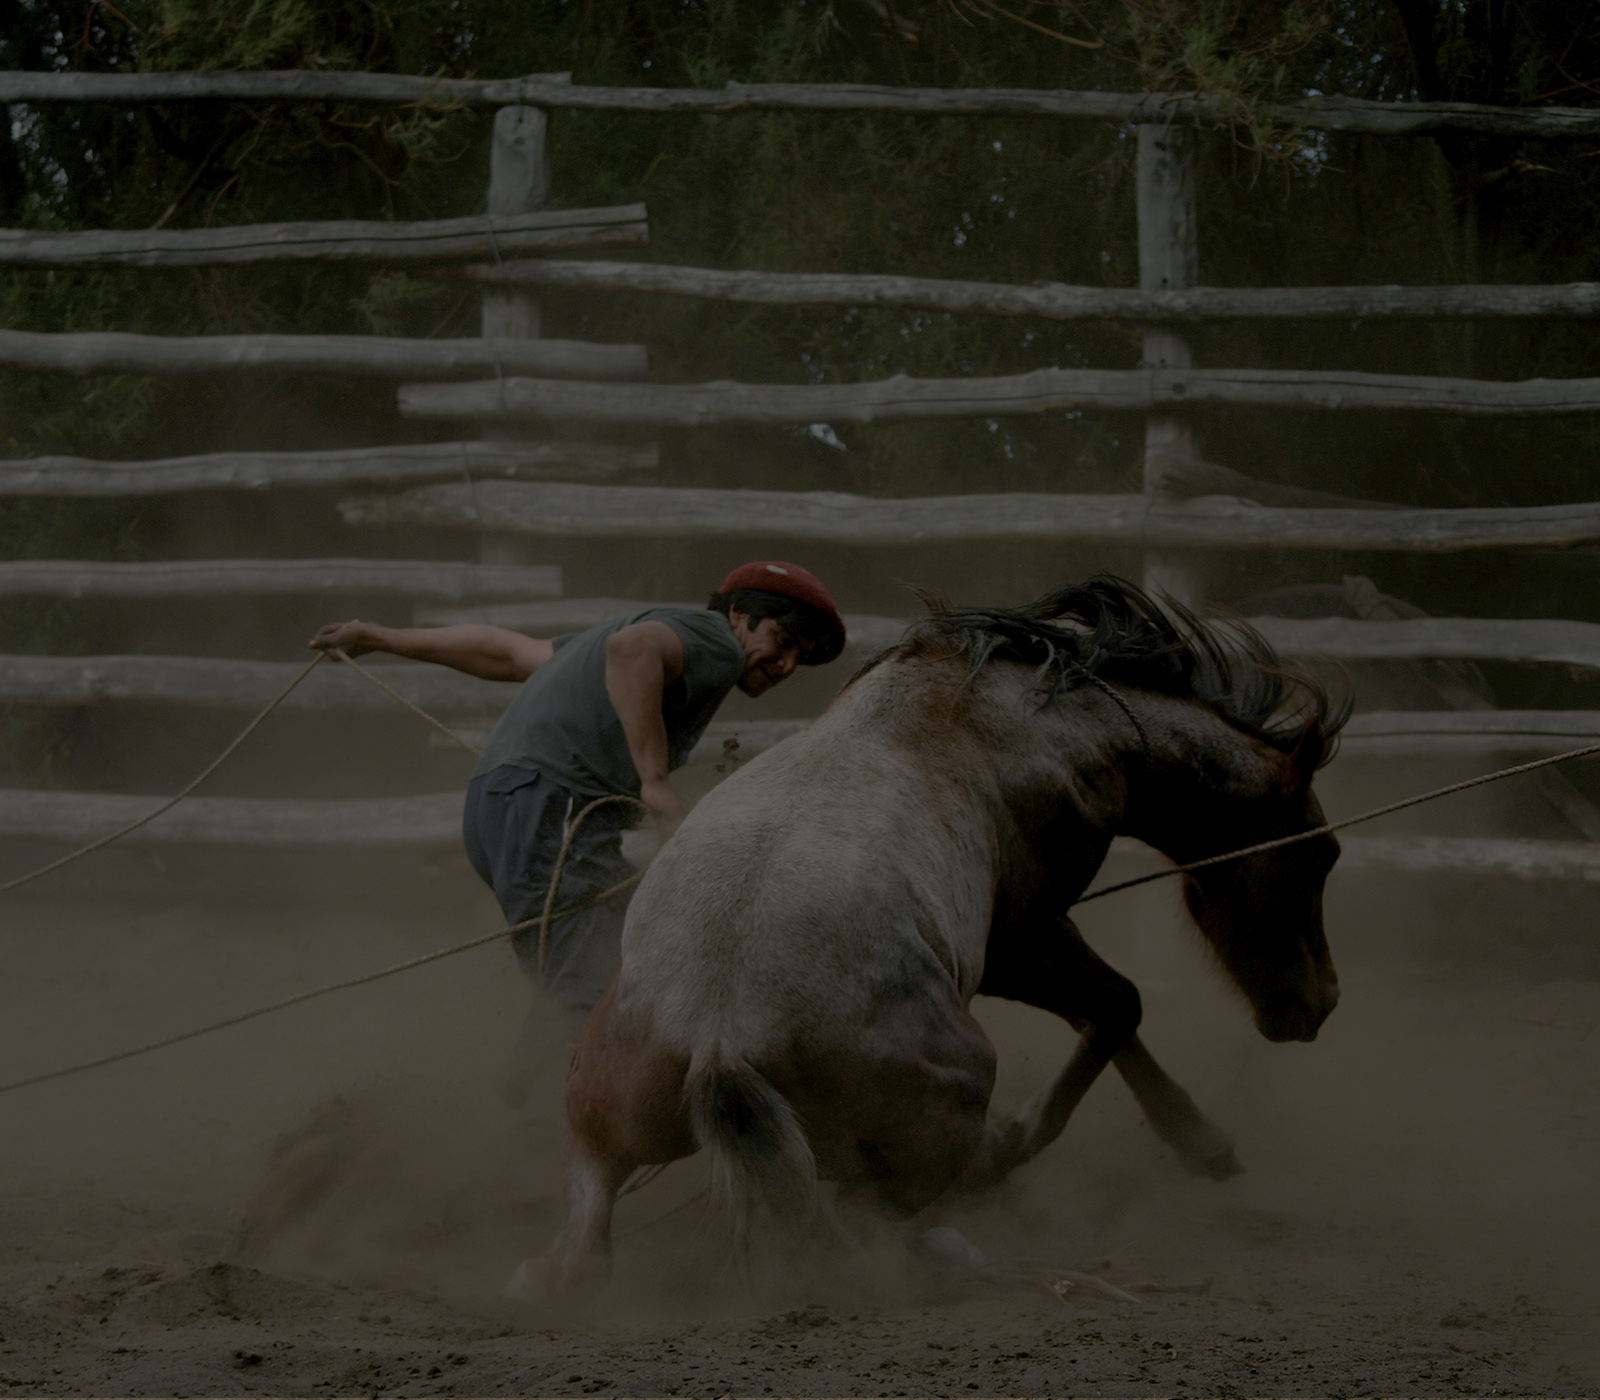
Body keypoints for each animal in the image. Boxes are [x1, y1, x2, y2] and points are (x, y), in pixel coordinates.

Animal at [544, 579, 1344, 1292]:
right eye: (1321, 853)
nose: (1322, 1002)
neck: (1068, 722)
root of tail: (718, 1039)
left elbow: (1102, 1013)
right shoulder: (1021, 934)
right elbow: (1119, 1004)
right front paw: (1176, 1140)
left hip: (603, 1110)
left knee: (588, 1237)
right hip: (954, 1085)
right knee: (867, 1223)